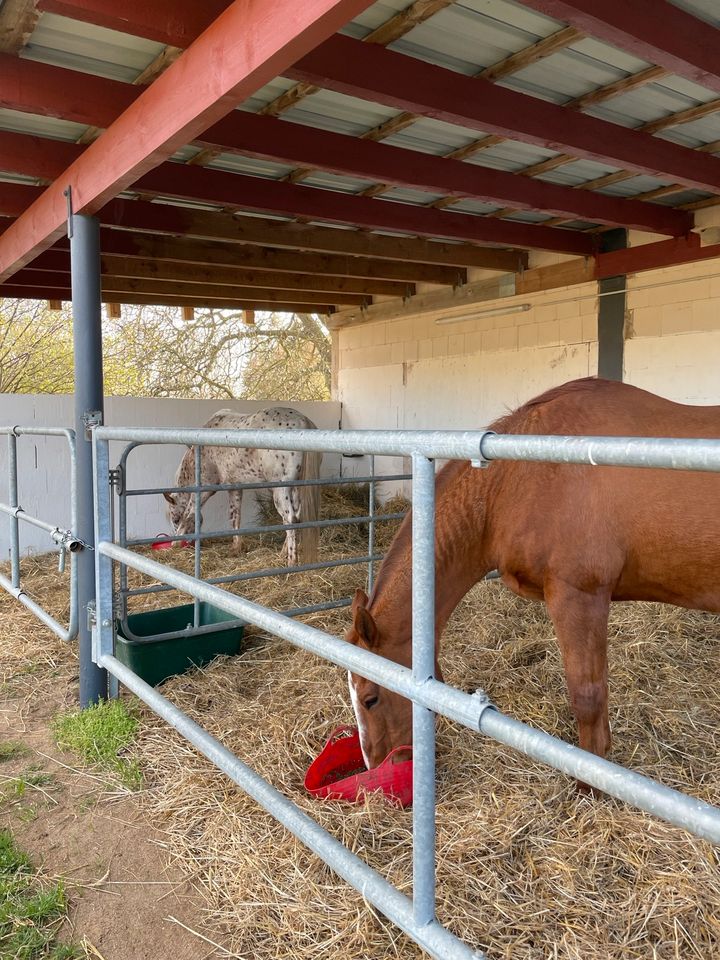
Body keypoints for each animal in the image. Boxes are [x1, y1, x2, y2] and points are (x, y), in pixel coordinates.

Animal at [165, 404, 322, 564]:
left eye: (175, 519)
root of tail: (304, 422)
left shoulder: (204, 489)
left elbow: (189, 512)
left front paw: (176, 541)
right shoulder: (234, 488)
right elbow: (235, 516)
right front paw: (236, 547)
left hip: (281, 490)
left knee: (290, 519)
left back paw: (291, 561)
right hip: (296, 488)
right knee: (297, 517)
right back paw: (283, 553)